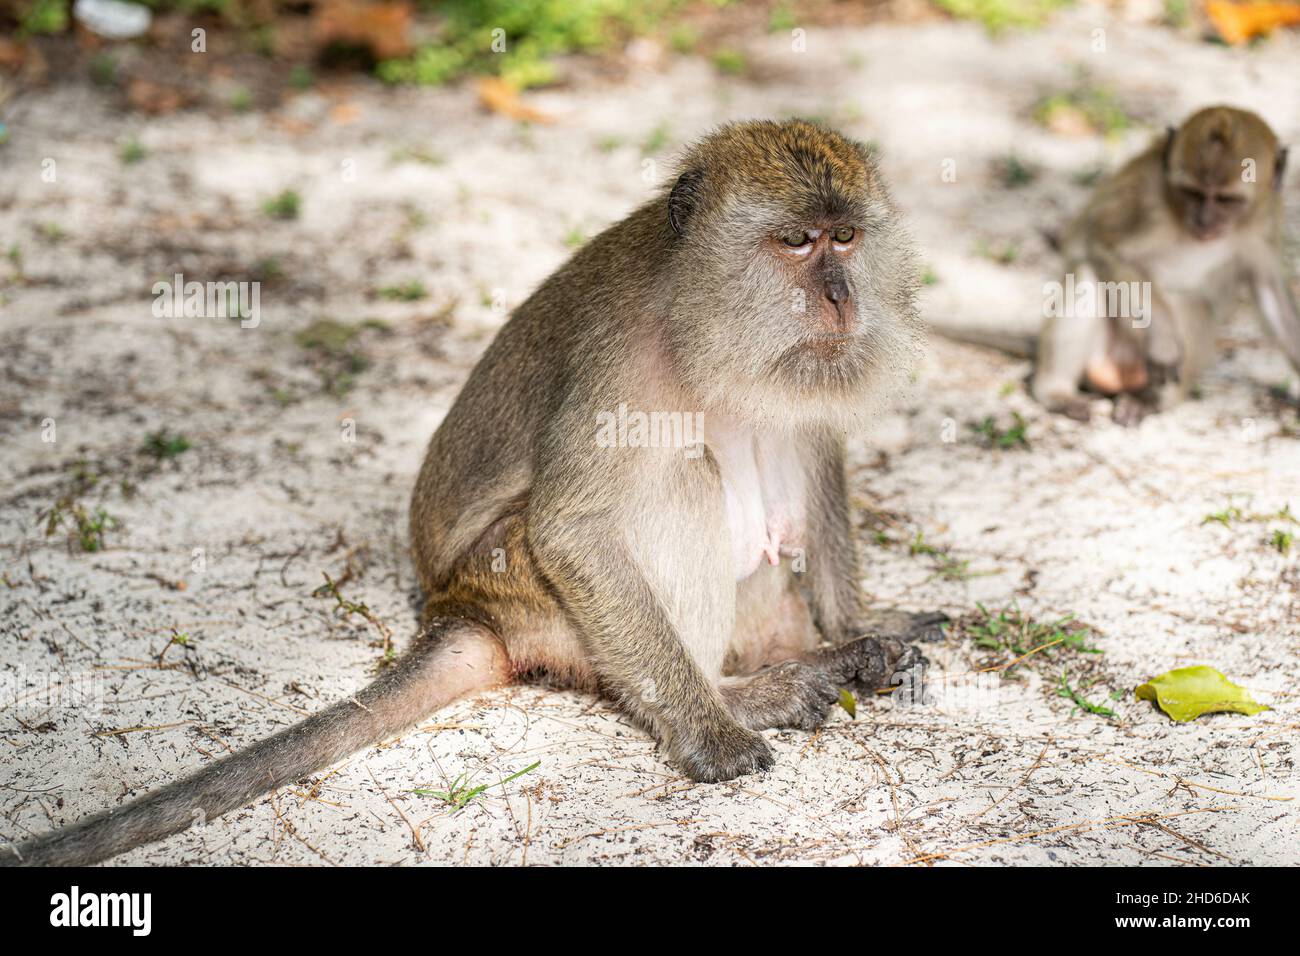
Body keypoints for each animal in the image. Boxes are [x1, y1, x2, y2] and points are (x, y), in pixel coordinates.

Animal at [0, 119, 946, 868]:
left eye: (845, 238)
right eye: (796, 243)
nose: (838, 297)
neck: (701, 317)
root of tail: (460, 605)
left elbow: (816, 452)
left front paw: (863, 621)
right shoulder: (622, 362)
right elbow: (573, 527)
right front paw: (710, 729)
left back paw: (813, 651)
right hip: (523, 586)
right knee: (677, 476)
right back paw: (741, 690)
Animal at [935, 108, 1300, 426]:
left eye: (1226, 199)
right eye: (1192, 192)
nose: (1205, 221)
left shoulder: (1265, 225)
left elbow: (1272, 298)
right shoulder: (1147, 201)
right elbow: (1104, 245)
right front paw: (1163, 339)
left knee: (1195, 307)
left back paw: (1147, 401)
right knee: (1089, 278)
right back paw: (1055, 392)